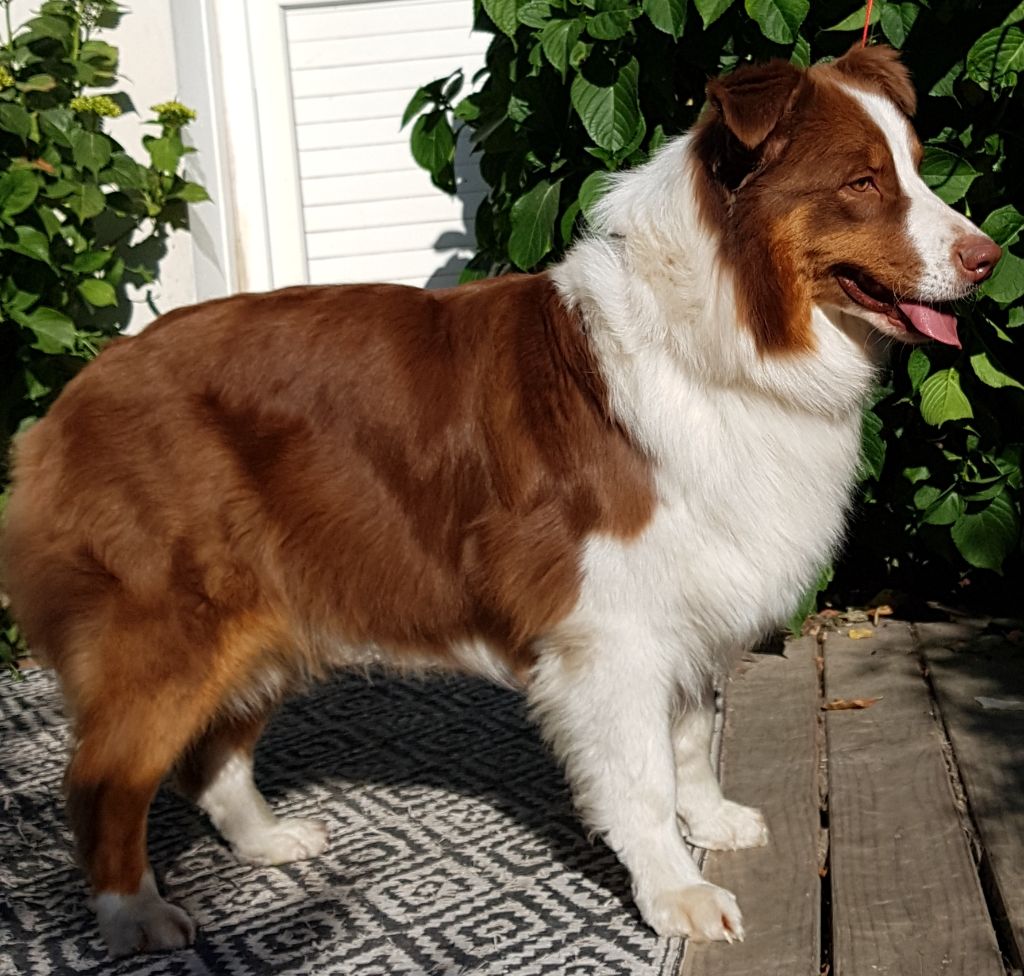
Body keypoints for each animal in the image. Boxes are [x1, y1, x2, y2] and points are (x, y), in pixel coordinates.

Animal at [1, 44, 1000, 956]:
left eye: (916, 166)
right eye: (863, 182)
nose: (989, 257)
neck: (715, 335)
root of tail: (71, 398)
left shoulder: (685, 598)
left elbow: (688, 739)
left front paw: (708, 823)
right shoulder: (610, 629)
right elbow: (641, 774)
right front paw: (675, 892)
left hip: (269, 610)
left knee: (212, 755)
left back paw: (268, 842)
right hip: (169, 628)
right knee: (102, 783)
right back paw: (133, 916)